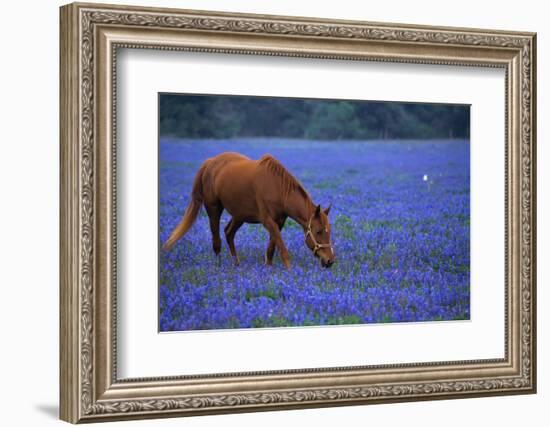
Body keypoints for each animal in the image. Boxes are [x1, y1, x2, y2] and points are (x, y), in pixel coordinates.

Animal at [162, 152, 336, 270]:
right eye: (319, 231)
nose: (330, 261)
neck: (278, 189)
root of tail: (210, 162)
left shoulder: (279, 222)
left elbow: (272, 248)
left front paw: (268, 268)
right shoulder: (268, 221)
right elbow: (282, 248)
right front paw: (290, 271)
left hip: (239, 215)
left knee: (228, 233)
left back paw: (236, 264)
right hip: (213, 209)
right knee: (217, 240)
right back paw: (219, 267)